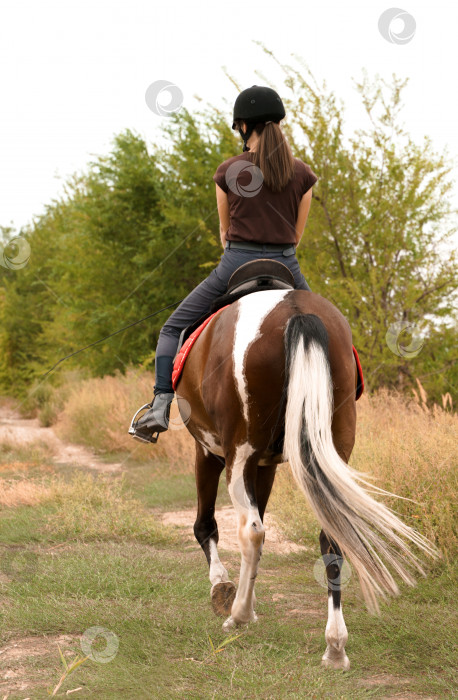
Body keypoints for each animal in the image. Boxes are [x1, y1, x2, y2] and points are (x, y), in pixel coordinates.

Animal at [174, 288, 436, 668]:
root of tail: (295, 308)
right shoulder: (266, 464)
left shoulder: (210, 451)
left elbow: (206, 525)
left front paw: (224, 591)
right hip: (332, 441)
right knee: (332, 535)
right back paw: (335, 646)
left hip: (238, 452)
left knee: (251, 531)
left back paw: (238, 616)